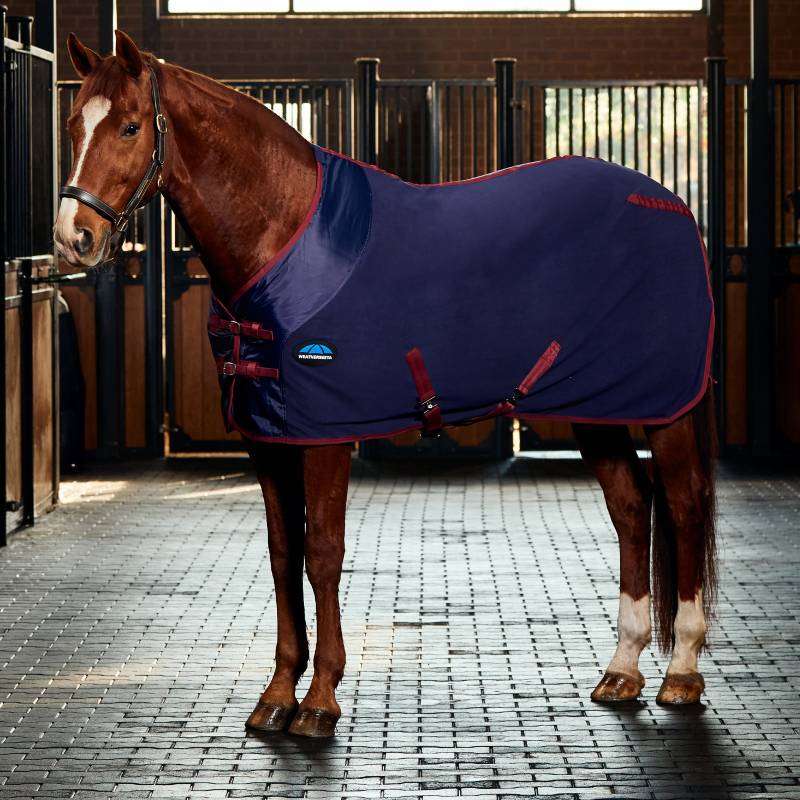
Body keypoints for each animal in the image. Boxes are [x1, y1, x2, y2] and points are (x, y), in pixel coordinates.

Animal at [54, 30, 717, 739]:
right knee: (632, 508)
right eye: (73, 124)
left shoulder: (324, 436)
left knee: (682, 506)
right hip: (598, 408)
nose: (73, 239)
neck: (282, 237)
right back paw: (622, 671)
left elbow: (321, 553)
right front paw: (277, 694)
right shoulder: (267, 438)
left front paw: (319, 700)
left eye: (129, 126)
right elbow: (283, 554)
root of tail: (674, 206)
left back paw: (681, 674)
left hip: (665, 408)